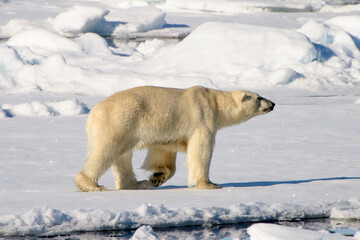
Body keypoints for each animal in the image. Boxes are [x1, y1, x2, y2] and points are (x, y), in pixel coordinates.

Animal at [74, 86, 274, 191]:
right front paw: (209, 184)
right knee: (106, 151)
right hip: (119, 121)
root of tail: (92, 113)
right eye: (259, 97)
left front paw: (157, 177)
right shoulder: (202, 118)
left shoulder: (166, 132)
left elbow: (162, 152)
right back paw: (93, 185)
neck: (215, 102)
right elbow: (201, 151)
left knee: (122, 157)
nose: (272, 103)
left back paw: (138, 184)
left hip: (126, 127)